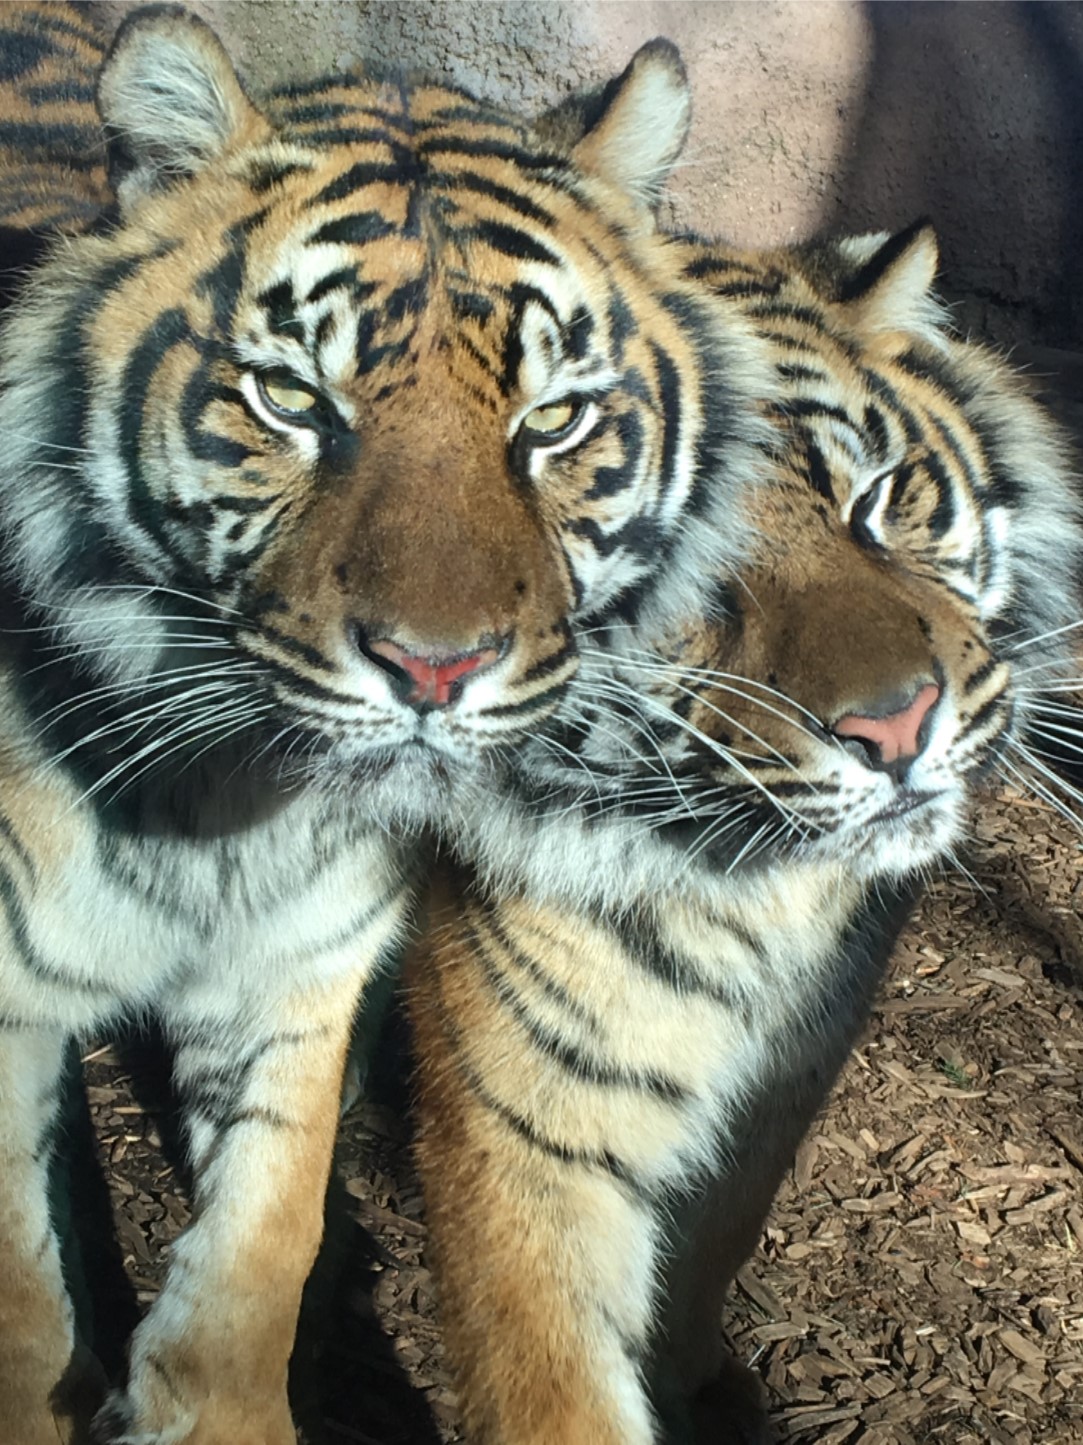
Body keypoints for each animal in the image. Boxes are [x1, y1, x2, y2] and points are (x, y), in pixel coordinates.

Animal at [0, 11, 775, 1445]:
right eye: (293, 402)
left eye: (552, 419)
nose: (435, 667)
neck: (216, 807)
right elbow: (20, 1308)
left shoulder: (296, 971)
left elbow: (256, 1262)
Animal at [404, 222, 1081, 1445]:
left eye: (878, 499)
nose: (897, 726)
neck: (756, 887)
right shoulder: (527, 1121)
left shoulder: (793, 1061)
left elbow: (718, 1228)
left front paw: (695, 1377)